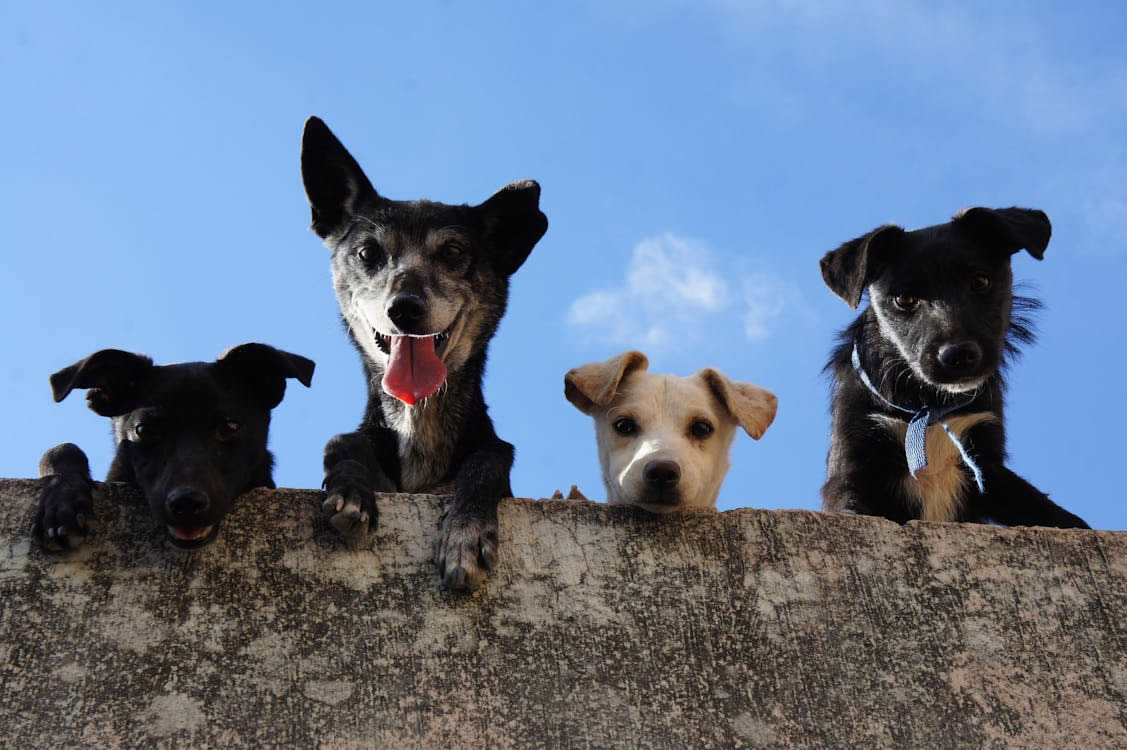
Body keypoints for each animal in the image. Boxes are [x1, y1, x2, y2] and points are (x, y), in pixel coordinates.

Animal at [824, 207, 1086, 530]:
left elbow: (1048, 511)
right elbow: (850, 506)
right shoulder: (853, 460)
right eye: (904, 299)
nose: (958, 355)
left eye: (980, 281)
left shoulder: (987, 465)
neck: (928, 406)